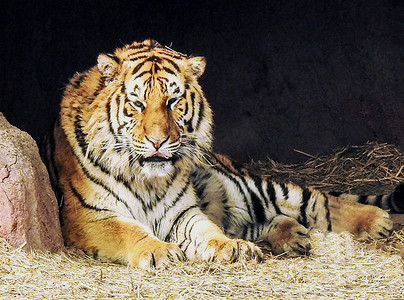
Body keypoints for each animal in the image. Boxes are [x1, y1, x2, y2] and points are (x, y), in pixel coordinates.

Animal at [42, 38, 402, 268]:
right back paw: (292, 237)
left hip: (250, 187)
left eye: (173, 101)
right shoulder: (88, 216)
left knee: (318, 201)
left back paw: (377, 221)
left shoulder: (183, 213)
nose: (158, 141)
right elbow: (129, 230)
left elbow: (209, 232)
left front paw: (231, 248)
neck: (147, 178)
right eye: (138, 103)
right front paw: (160, 251)